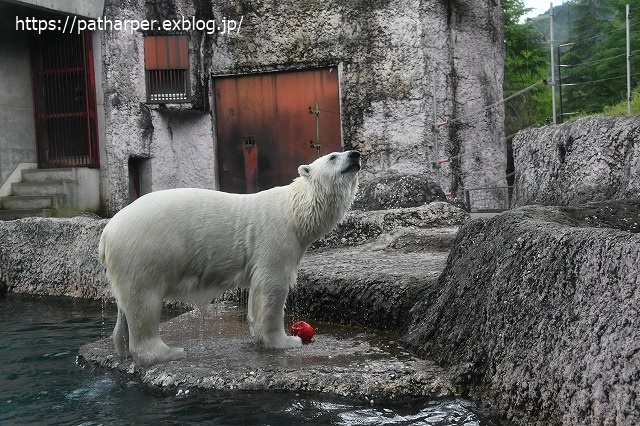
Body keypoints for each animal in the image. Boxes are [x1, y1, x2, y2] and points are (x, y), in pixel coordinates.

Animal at [99, 150, 360, 366]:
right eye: (333, 157)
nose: (355, 155)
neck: (294, 211)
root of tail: (107, 233)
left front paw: (259, 336)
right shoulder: (276, 237)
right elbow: (272, 288)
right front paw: (285, 341)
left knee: (126, 305)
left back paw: (122, 347)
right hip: (145, 251)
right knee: (144, 301)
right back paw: (169, 353)